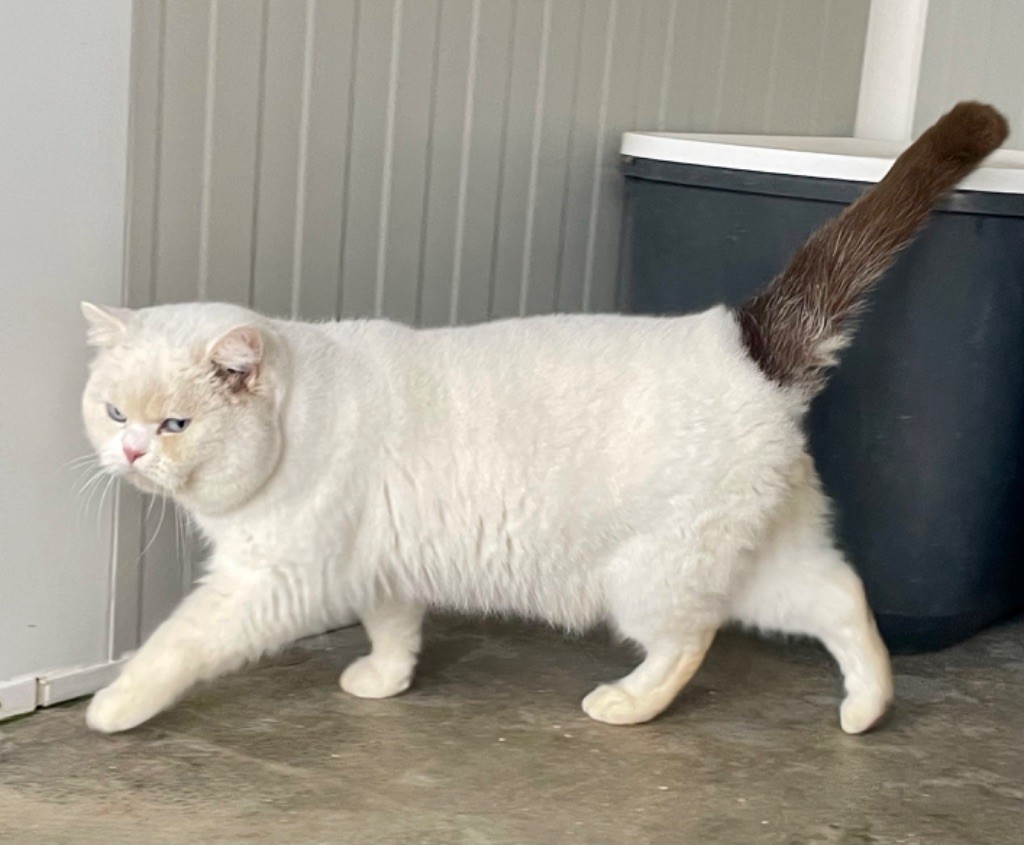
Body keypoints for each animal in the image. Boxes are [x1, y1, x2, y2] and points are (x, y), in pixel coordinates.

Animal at [79, 102, 1007, 733]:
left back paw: (626, 702)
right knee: (844, 598)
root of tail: (738, 338)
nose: (129, 452)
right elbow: (394, 629)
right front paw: (385, 678)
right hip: (765, 560)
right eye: (113, 411)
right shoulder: (380, 566)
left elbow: (178, 643)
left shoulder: (271, 580)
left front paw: (116, 704)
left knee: (690, 639)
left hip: (649, 575)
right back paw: (866, 708)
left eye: (174, 426)